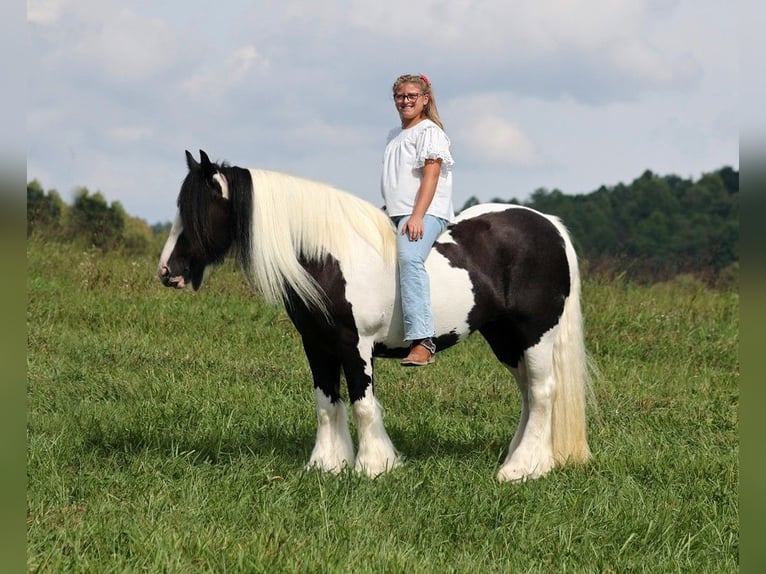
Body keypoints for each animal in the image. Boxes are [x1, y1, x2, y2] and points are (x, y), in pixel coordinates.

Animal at [159, 151, 592, 484]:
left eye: (197, 213)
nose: (167, 271)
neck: (329, 255)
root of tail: (550, 226)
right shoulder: (317, 344)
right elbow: (326, 402)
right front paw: (326, 465)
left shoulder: (356, 345)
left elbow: (362, 403)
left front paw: (373, 466)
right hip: (504, 337)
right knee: (528, 394)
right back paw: (525, 458)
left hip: (536, 333)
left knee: (543, 392)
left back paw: (521, 470)